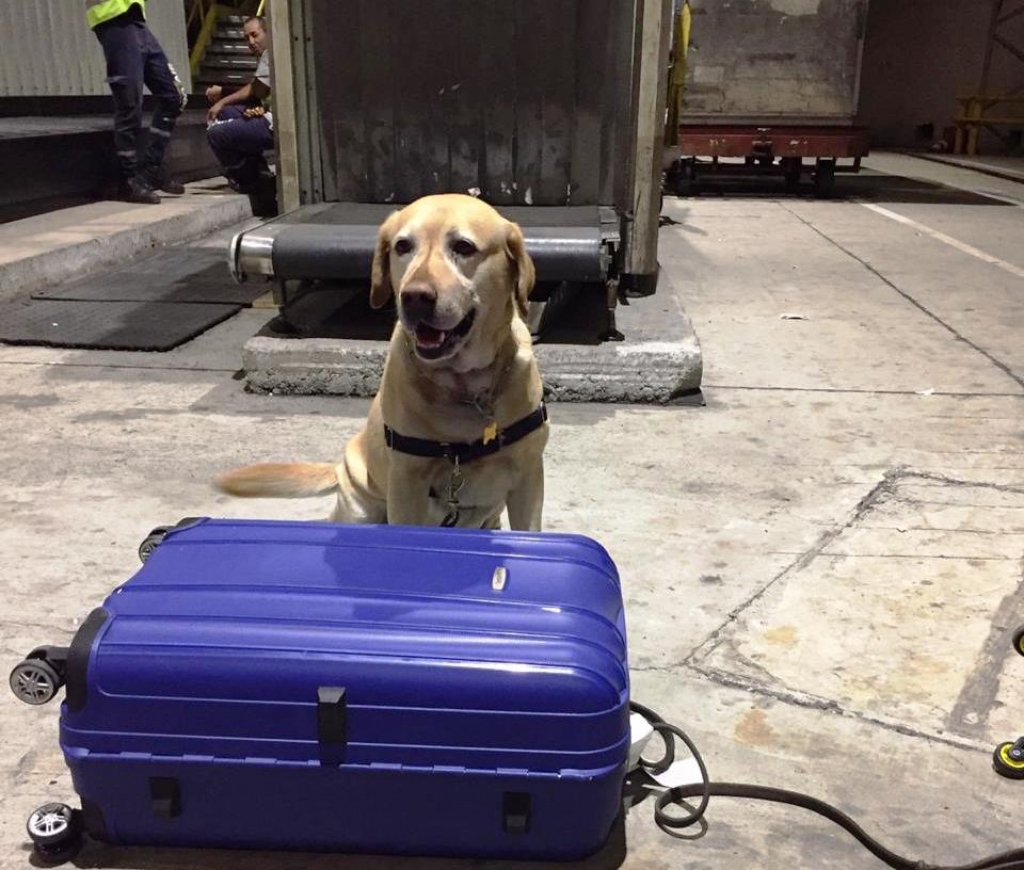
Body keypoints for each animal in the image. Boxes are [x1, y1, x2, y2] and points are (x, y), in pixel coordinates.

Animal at [216, 194, 548, 528]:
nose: (414, 297)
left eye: (463, 247)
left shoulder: (529, 477)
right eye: (402, 246)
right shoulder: (406, 481)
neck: (465, 388)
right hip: (360, 506)